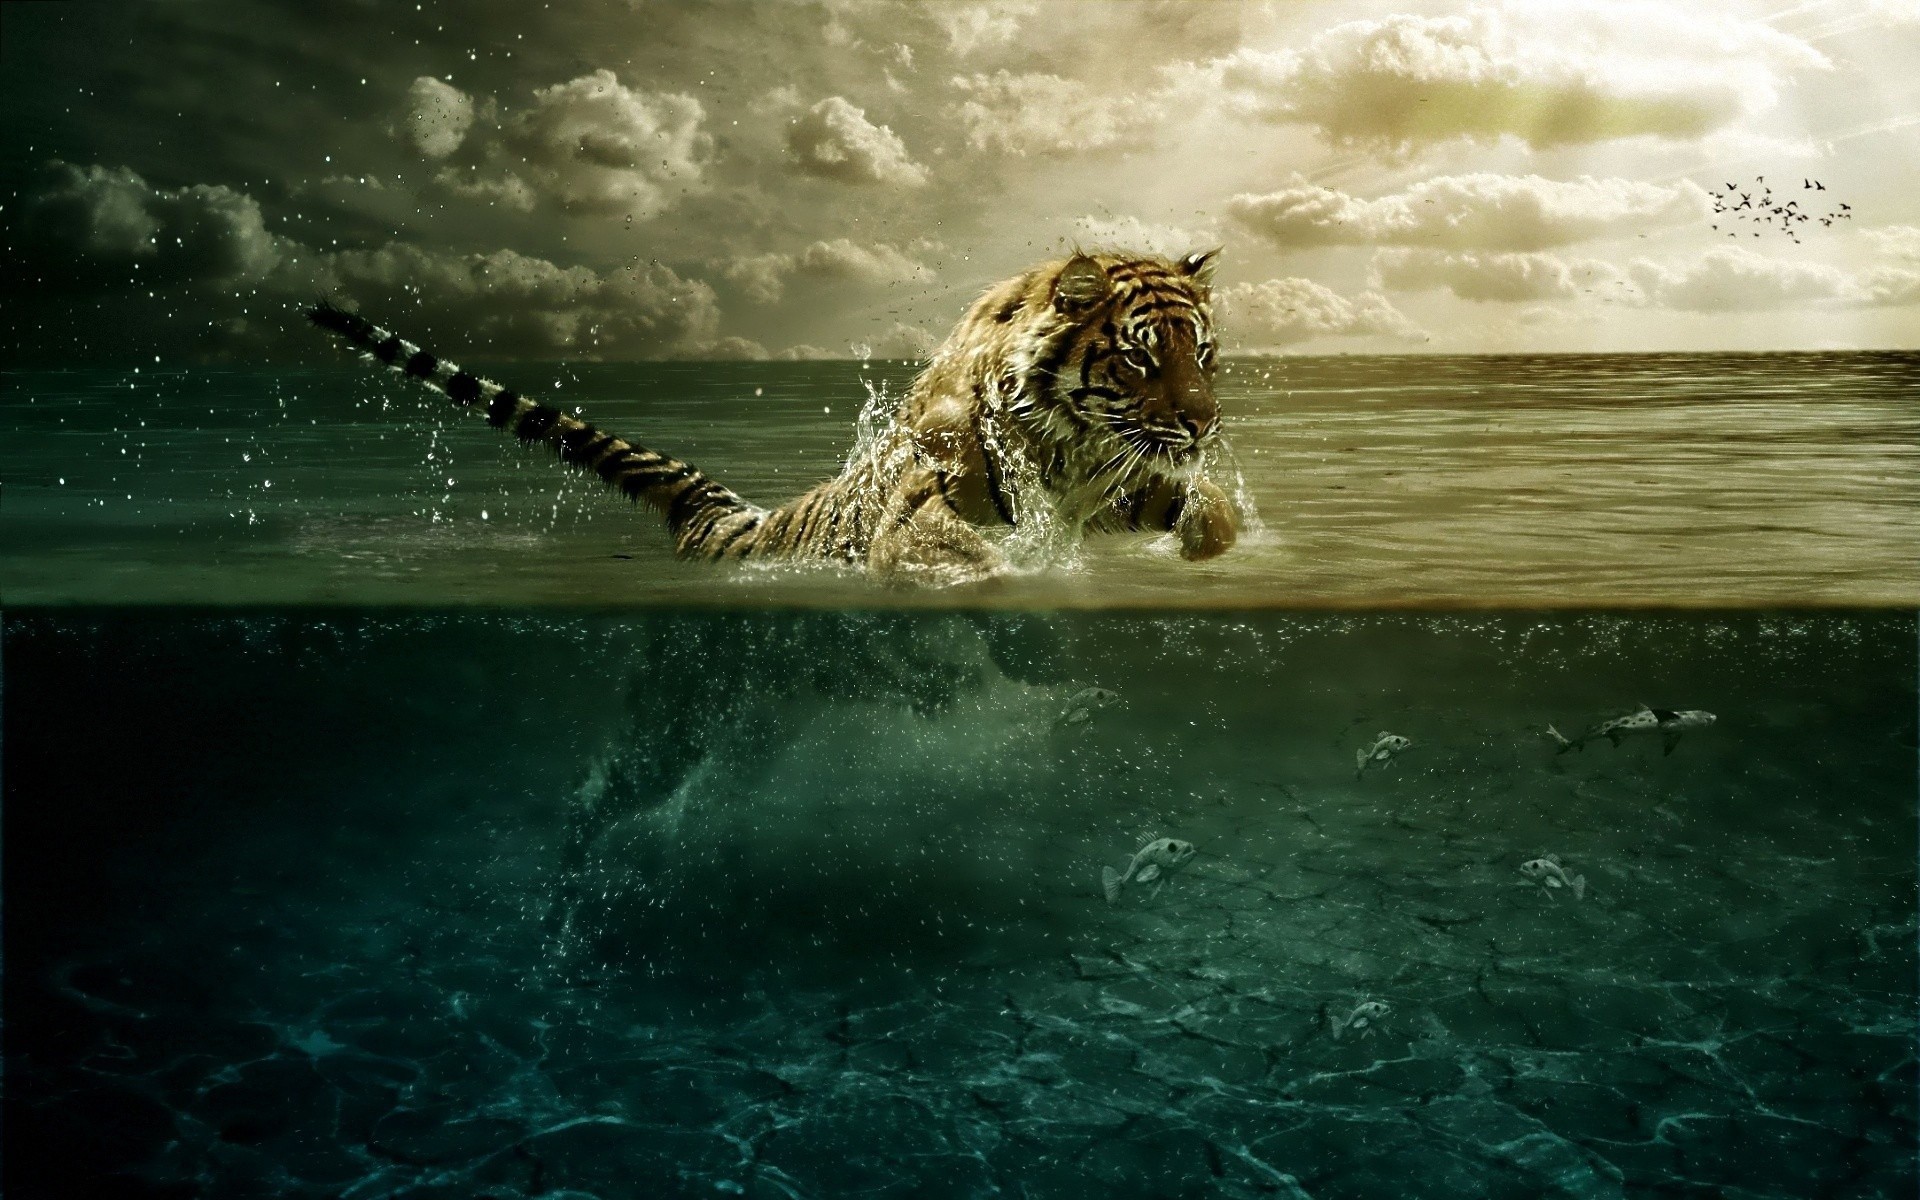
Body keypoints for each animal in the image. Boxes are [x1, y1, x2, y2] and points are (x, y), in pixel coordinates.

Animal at [307, 248, 1238, 585]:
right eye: (1139, 358)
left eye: (1203, 353)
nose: (1202, 426)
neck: (1071, 451)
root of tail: (731, 519)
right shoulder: (921, 513)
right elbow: (967, 555)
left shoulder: (1125, 482)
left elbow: (1209, 512)